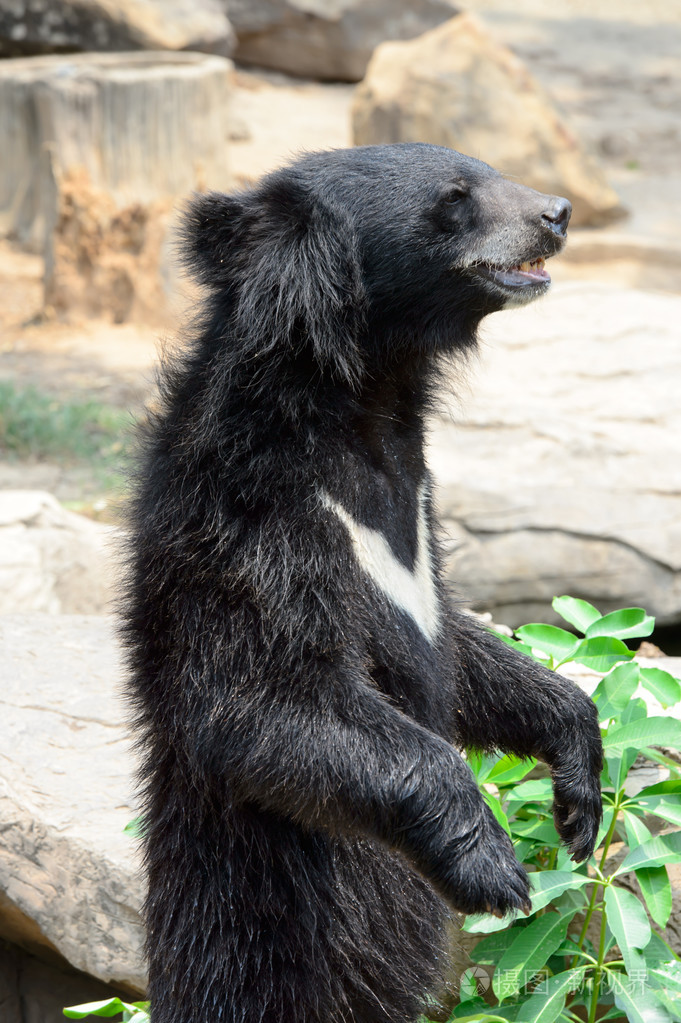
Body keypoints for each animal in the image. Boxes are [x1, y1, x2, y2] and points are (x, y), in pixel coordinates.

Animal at [122, 143, 603, 1023]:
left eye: (487, 169)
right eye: (455, 198)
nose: (555, 213)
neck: (366, 406)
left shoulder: (418, 507)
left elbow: (464, 649)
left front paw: (577, 792)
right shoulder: (252, 520)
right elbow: (264, 697)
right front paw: (497, 869)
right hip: (255, 931)